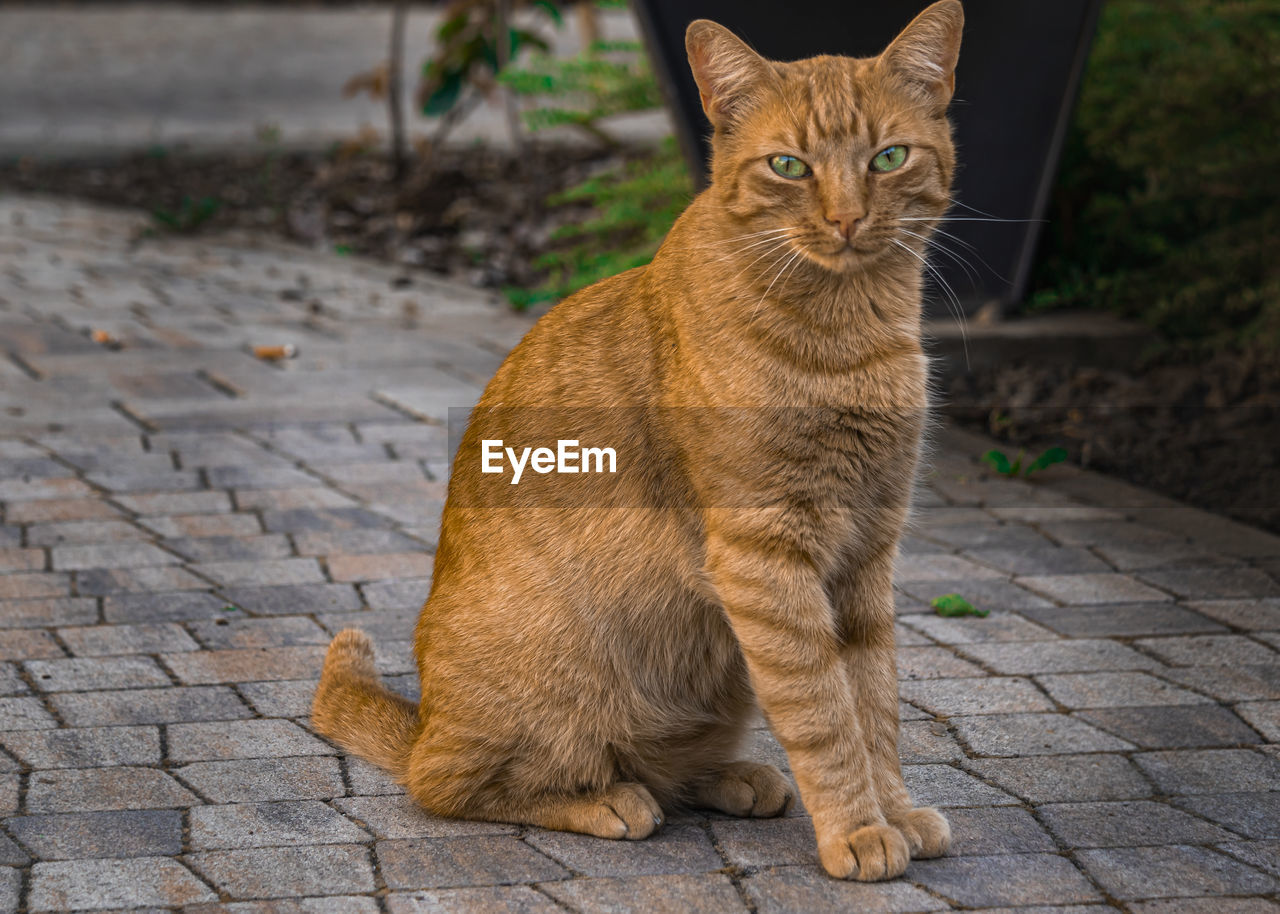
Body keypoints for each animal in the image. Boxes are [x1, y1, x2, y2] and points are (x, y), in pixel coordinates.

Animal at [314, 3, 962, 880]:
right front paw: (859, 830)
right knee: (452, 785)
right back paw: (609, 799)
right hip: (552, 678)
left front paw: (891, 809)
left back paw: (729, 778)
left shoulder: (867, 554)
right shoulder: (765, 557)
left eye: (888, 157)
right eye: (789, 166)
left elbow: (874, 705)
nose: (846, 218)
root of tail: (422, 721)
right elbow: (825, 713)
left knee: (657, 765)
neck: (850, 335)